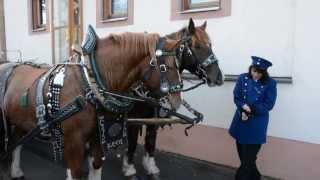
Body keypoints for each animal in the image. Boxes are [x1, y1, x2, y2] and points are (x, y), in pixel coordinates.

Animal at [0, 31, 182, 179]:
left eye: (179, 64)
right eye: (167, 67)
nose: (177, 101)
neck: (89, 84)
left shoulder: (98, 136)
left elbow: (96, 166)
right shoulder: (74, 142)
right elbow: (76, 173)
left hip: (20, 121)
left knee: (16, 144)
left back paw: (16, 172)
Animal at [124, 19, 224, 179]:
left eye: (210, 45)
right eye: (197, 46)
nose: (219, 78)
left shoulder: (154, 118)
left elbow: (150, 141)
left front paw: (151, 167)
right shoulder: (133, 119)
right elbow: (132, 143)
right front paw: (129, 168)